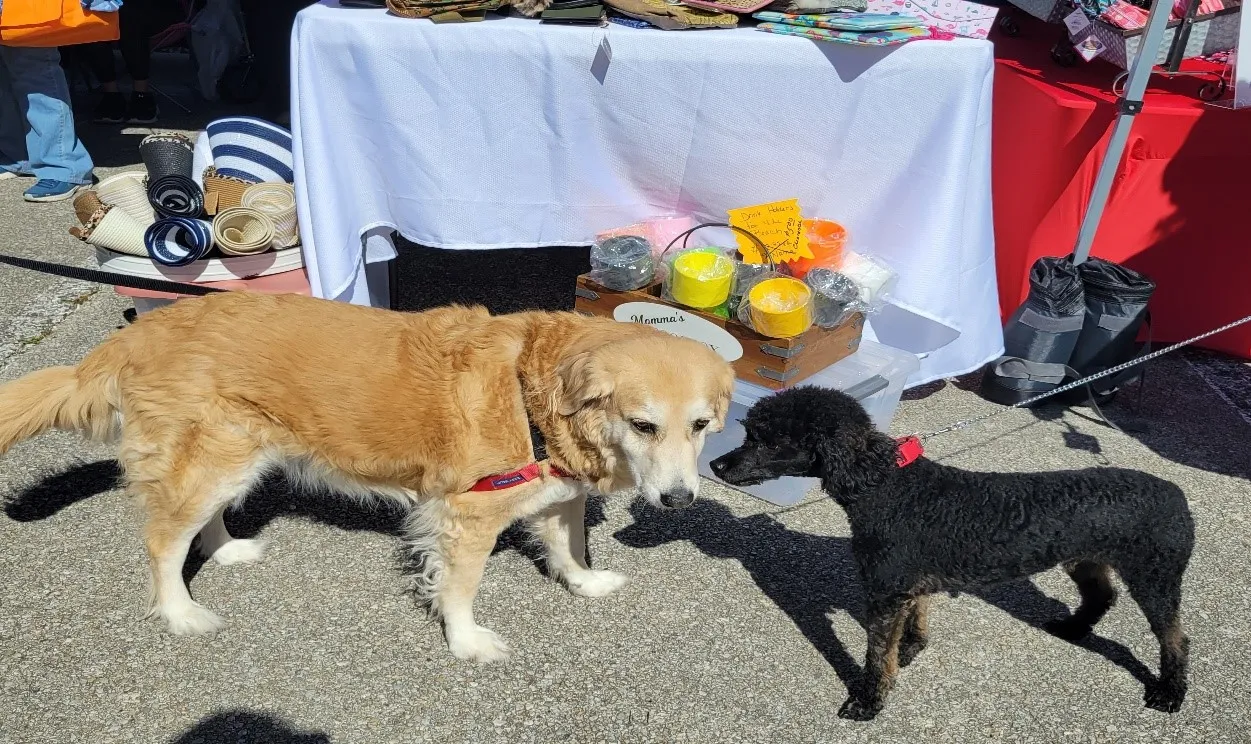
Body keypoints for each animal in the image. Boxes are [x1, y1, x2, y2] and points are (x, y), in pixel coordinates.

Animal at [0, 291, 730, 665]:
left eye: (700, 424)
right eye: (642, 425)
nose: (677, 499)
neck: (533, 387)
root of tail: (134, 332)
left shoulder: (555, 491)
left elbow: (566, 543)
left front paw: (582, 581)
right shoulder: (466, 513)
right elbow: (460, 587)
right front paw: (465, 641)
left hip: (235, 456)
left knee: (198, 523)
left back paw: (226, 548)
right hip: (209, 459)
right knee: (161, 542)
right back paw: (180, 612)